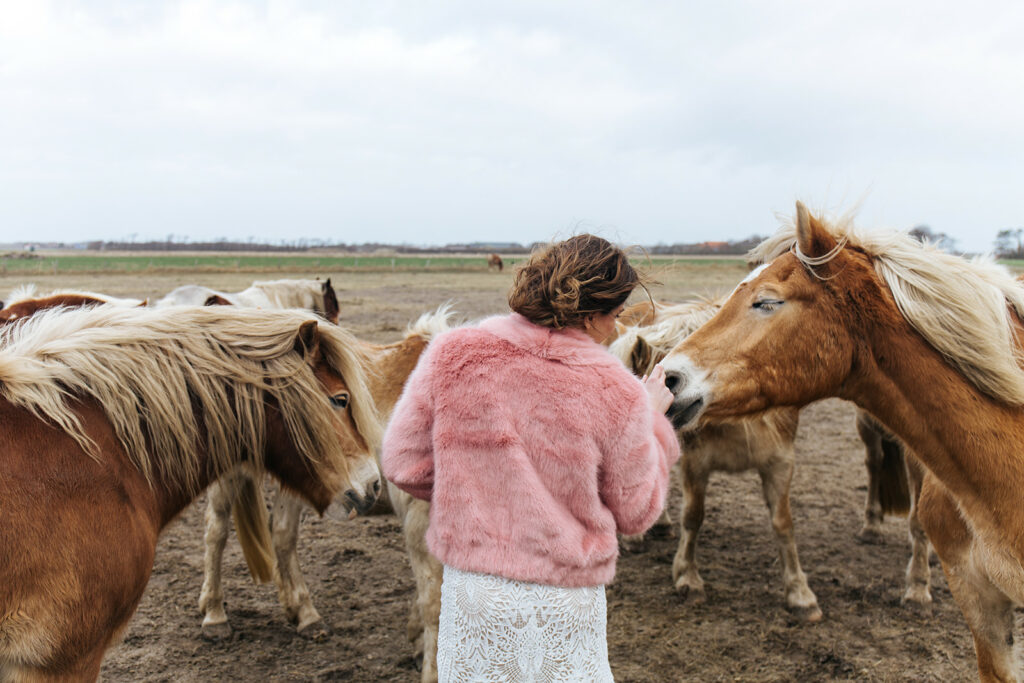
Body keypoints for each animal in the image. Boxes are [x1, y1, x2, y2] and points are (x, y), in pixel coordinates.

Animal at [606, 299, 823, 618]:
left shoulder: (780, 462)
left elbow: (783, 524)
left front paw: (800, 594)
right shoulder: (695, 463)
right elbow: (693, 517)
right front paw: (688, 578)